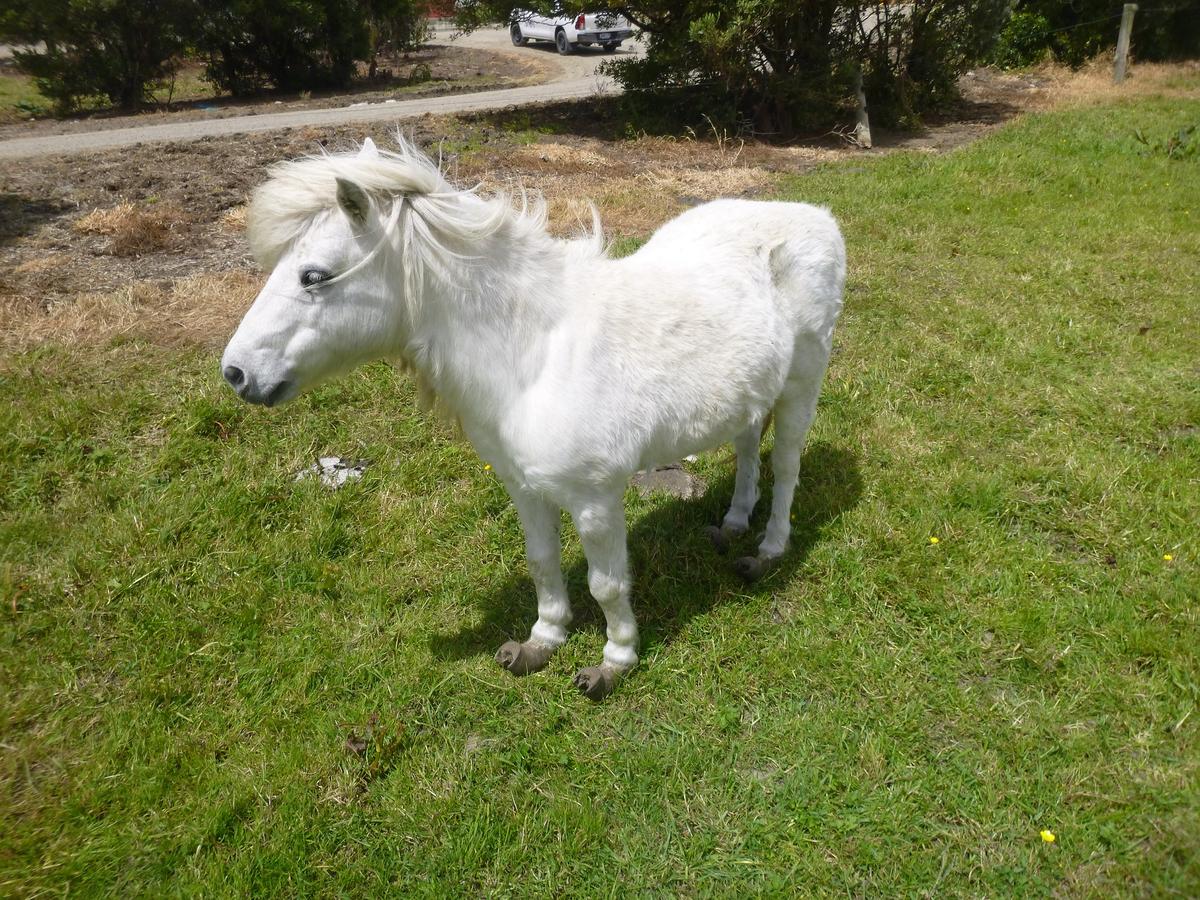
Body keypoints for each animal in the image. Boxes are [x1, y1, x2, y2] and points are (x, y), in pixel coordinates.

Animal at [221, 137, 845, 700]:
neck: (534, 353)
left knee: (786, 467)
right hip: (751, 392)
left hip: (802, 384)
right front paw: (542, 641)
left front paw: (615, 661)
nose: (235, 373)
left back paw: (767, 550)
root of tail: (816, 217)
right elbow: (543, 563)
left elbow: (607, 584)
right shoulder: (524, 487)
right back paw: (734, 522)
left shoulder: (596, 499)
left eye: (313, 276)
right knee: (747, 447)